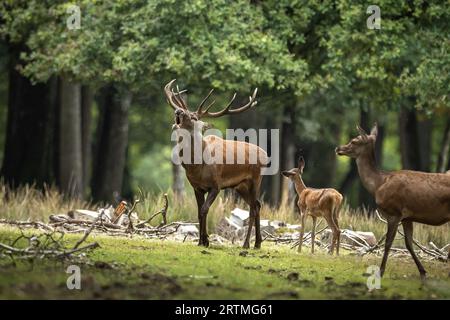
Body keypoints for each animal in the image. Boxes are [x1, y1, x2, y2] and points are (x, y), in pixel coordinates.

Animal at [167, 79, 268, 249]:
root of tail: (265, 155)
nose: (178, 111)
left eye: (193, 117)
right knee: (258, 204)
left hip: (256, 179)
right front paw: (201, 241)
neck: (197, 166)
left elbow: (204, 209)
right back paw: (258, 243)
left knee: (253, 208)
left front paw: (206, 240)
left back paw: (246, 244)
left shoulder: (216, 185)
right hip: (241, 186)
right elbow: (199, 211)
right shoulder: (197, 187)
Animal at [336, 124, 450, 278]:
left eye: (354, 141)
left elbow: (388, 243)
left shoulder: (394, 212)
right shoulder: (407, 217)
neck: (379, 184)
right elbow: (409, 244)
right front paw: (422, 271)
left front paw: (381, 271)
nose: (338, 148)